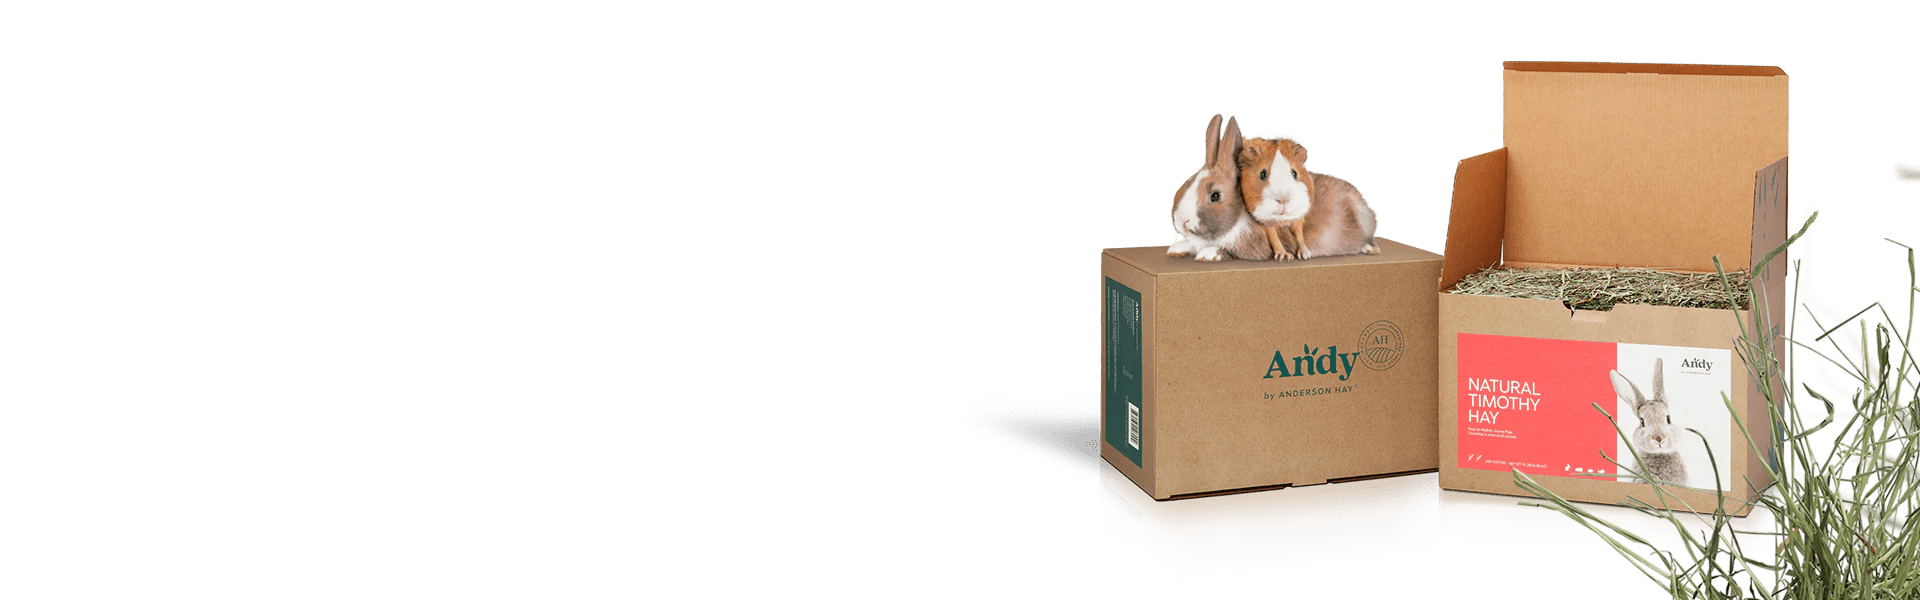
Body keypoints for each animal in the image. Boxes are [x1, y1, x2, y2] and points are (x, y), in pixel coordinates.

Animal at [1166, 114, 1271, 262]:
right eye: (1187, 183)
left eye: (1215, 196)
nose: (1183, 221)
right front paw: (1176, 249)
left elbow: (1229, 251)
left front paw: (1207, 255)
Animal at [1236, 133, 1380, 260]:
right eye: (1262, 174)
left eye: (1294, 173)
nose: (1283, 200)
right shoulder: (1265, 221)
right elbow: (1274, 236)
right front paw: (1284, 256)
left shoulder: (1299, 217)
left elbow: (1299, 233)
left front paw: (1305, 255)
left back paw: (1373, 250)